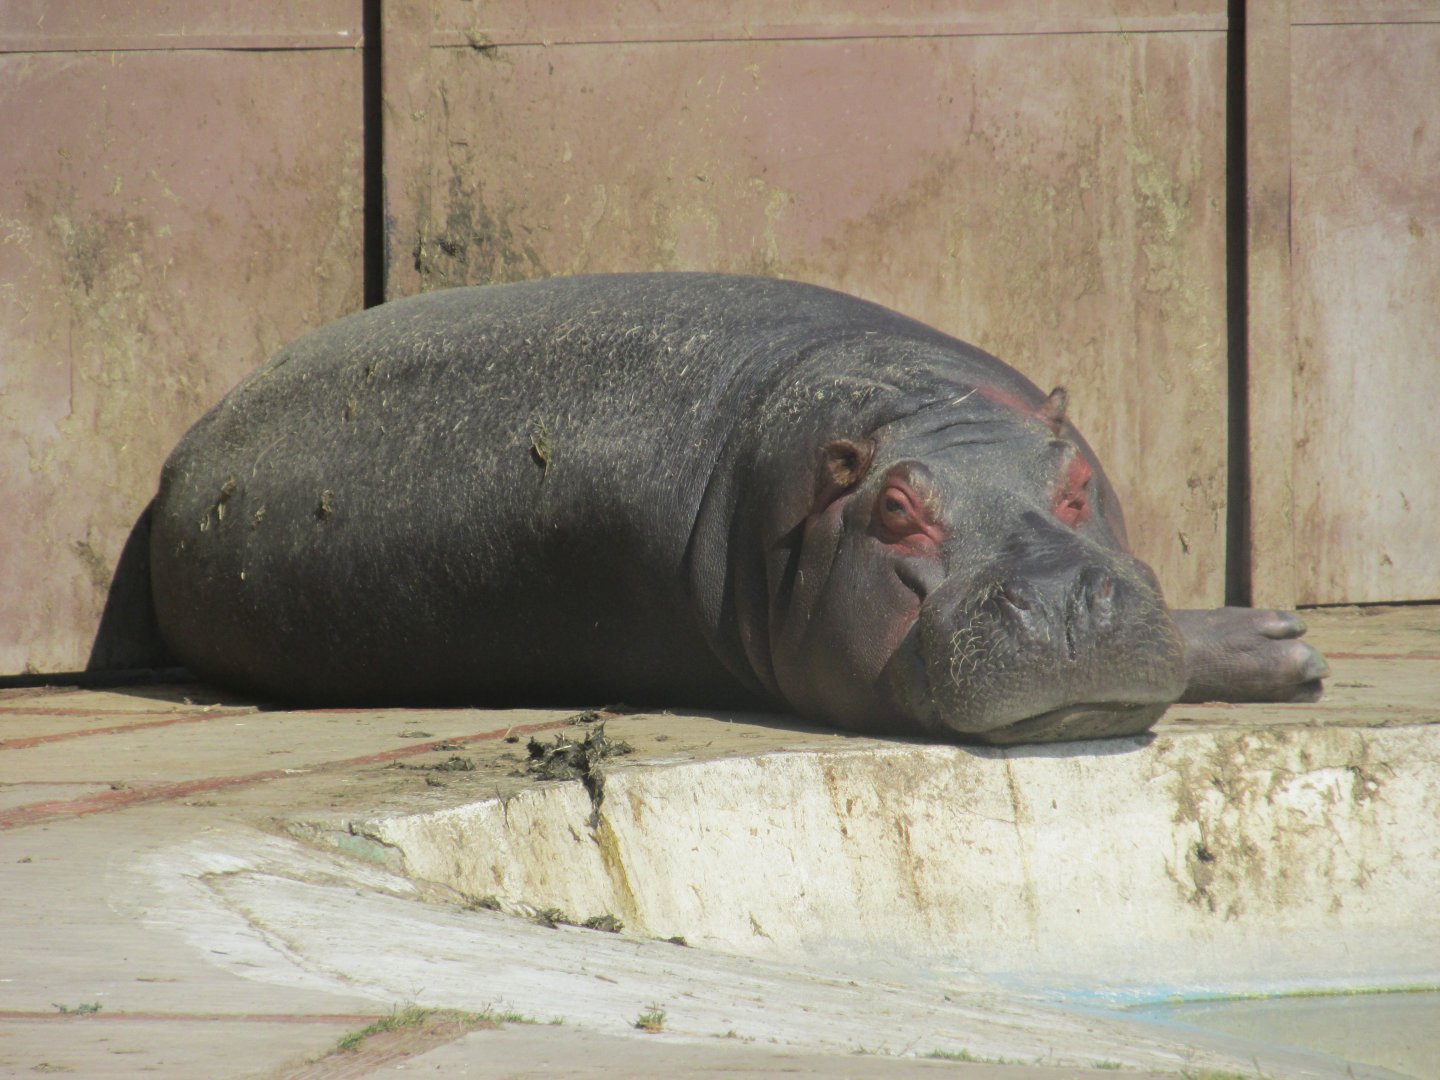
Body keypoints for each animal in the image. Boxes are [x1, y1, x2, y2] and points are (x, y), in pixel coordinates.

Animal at [150, 274, 1326, 744]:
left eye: (1076, 481)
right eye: (895, 513)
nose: (1061, 599)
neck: (908, 409)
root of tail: (176, 467)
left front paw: (1285, 647)